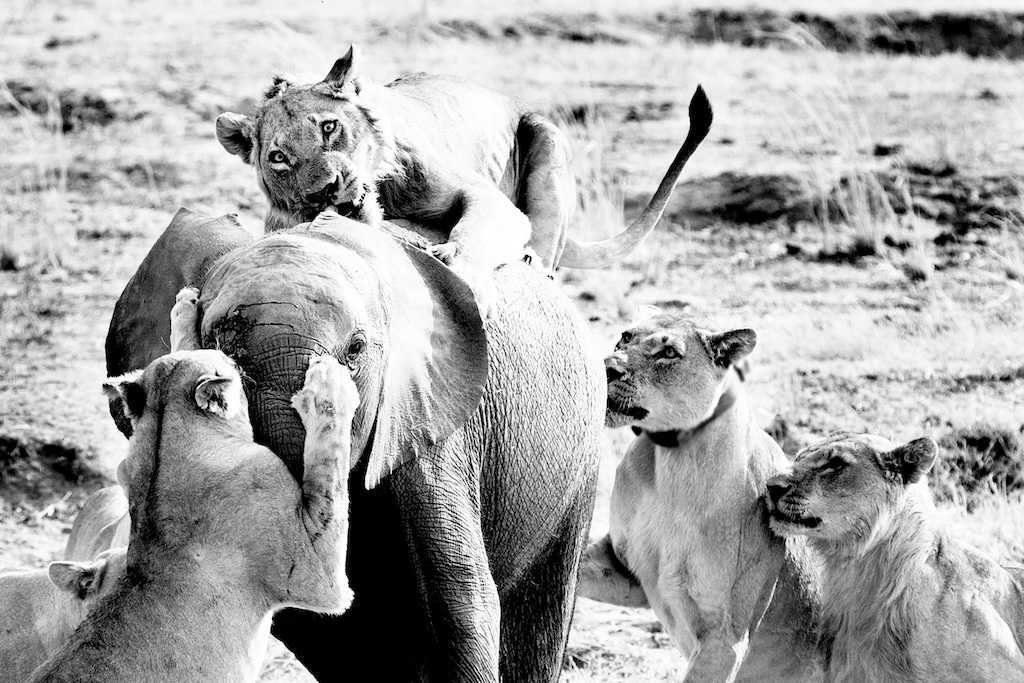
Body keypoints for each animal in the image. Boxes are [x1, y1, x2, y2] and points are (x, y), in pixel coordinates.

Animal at [31, 292, 358, 682]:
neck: (163, 450)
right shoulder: (316, 574)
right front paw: (329, 381)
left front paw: (184, 311)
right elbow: (330, 468)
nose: (234, 358)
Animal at [215, 46, 712, 312]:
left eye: (329, 127)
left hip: (546, 135)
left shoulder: (489, 200)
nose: (327, 188)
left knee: (547, 247)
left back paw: (532, 260)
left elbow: (474, 233)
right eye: (279, 158)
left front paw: (465, 279)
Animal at [577, 310, 824, 682]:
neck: (673, 464)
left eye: (668, 353)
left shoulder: (725, 635)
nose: (606, 367)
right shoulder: (625, 571)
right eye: (625, 337)